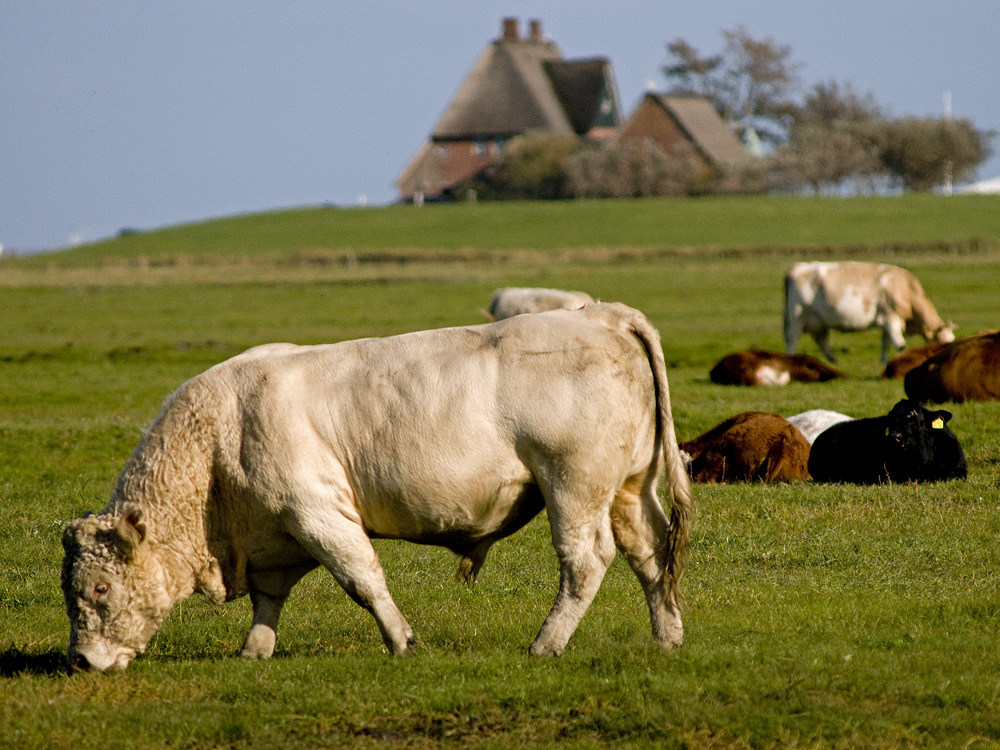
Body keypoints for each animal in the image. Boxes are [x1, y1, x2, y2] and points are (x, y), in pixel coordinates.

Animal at [60, 306, 688, 676]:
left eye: (98, 588)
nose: (83, 662)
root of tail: (604, 314)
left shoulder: (314, 511)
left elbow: (362, 579)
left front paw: (401, 641)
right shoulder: (274, 535)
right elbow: (270, 598)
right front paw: (254, 651)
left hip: (573, 484)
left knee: (586, 561)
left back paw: (545, 644)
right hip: (629, 488)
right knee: (651, 554)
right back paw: (667, 638)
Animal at [780, 264, 952, 364]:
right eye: (943, 342)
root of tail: (795, 268)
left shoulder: (886, 322)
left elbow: (885, 343)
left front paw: (884, 362)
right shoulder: (891, 317)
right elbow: (899, 344)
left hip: (819, 320)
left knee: (822, 342)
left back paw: (835, 361)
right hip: (797, 317)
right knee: (792, 339)